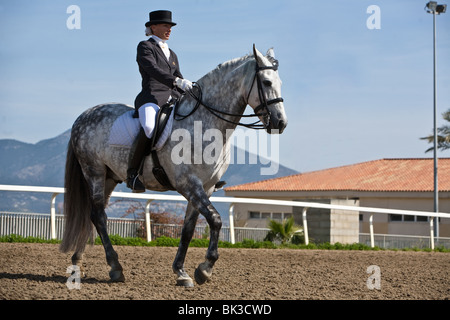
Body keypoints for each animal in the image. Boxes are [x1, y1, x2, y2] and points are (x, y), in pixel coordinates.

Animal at [59, 43, 288, 286]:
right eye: (267, 82)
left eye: (280, 83)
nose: (280, 123)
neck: (204, 124)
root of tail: (83, 116)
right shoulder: (188, 184)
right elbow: (215, 220)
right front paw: (204, 269)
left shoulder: (205, 187)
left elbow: (188, 230)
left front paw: (181, 272)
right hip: (93, 172)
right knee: (100, 217)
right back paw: (115, 267)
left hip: (109, 178)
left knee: (94, 215)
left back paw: (78, 262)